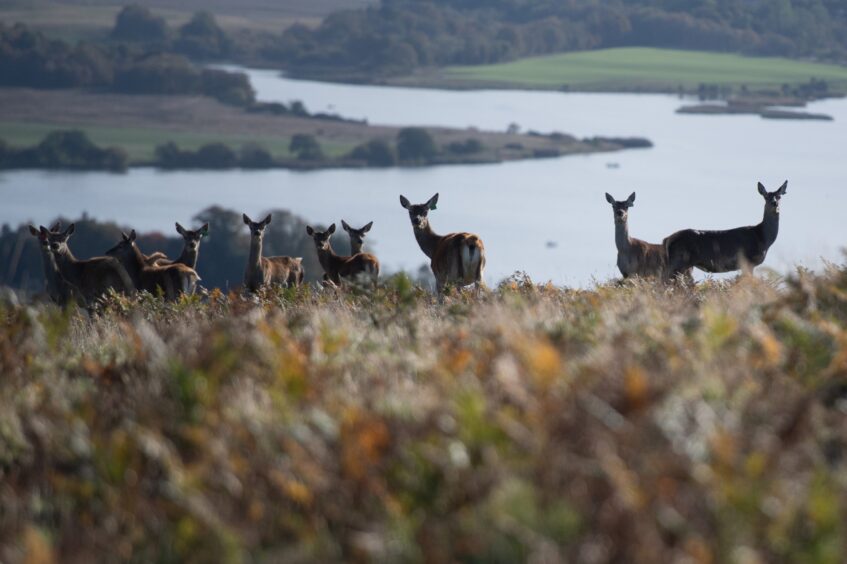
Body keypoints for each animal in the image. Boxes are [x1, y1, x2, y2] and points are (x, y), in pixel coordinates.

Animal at [664, 181, 792, 280]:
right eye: (766, 196)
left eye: (779, 196)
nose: (774, 203)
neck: (762, 238)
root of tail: (668, 240)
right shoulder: (748, 261)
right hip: (680, 261)